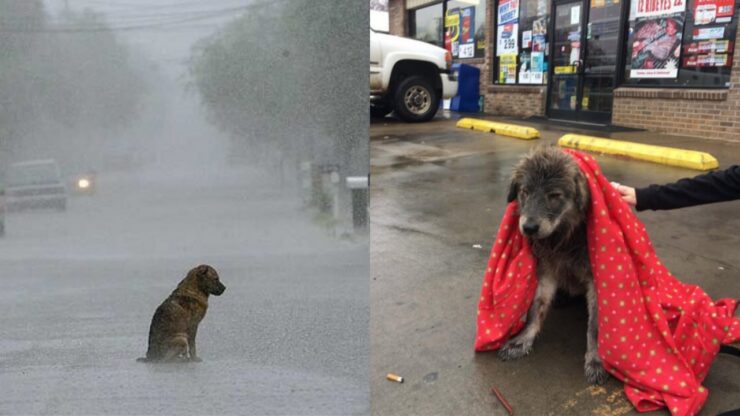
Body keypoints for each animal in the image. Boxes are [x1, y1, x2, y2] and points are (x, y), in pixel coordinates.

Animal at [498, 147, 608, 386]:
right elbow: (535, 310)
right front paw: (522, 340)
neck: (564, 239)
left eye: (554, 196)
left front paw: (595, 359)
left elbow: (595, 325)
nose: (529, 227)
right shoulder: (546, 271)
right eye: (525, 191)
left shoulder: (596, 279)